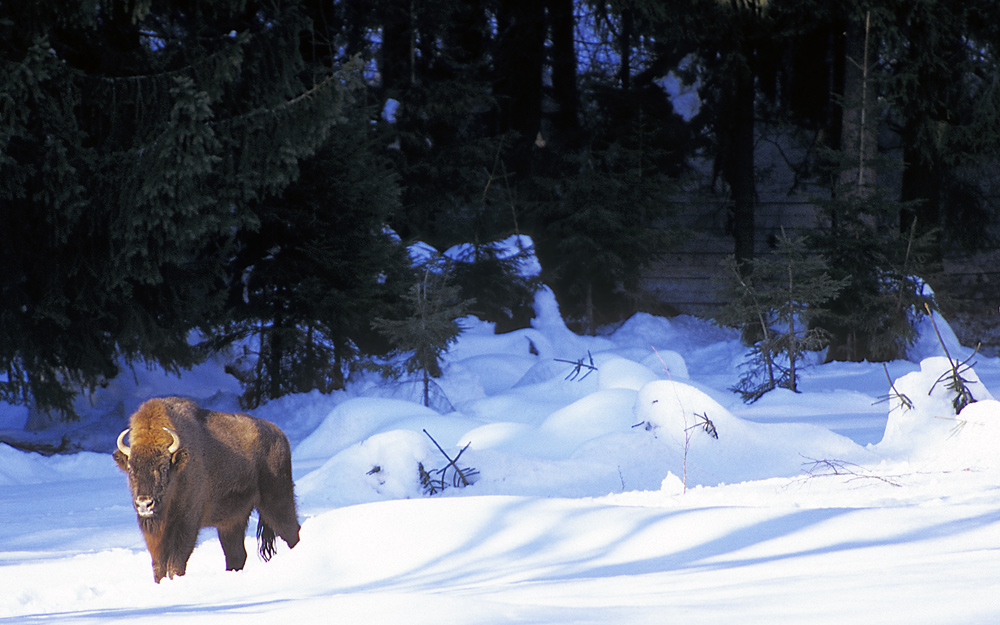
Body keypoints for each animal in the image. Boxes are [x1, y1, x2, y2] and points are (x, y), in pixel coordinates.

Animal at [114, 398, 300, 584]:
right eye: (131, 469)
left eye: (164, 468)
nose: (145, 503)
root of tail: (280, 435)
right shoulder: (157, 533)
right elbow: (159, 565)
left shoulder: (187, 522)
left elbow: (176, 562)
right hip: (232, 521)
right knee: (236, 554)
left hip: (277, 502)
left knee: (292, 532)